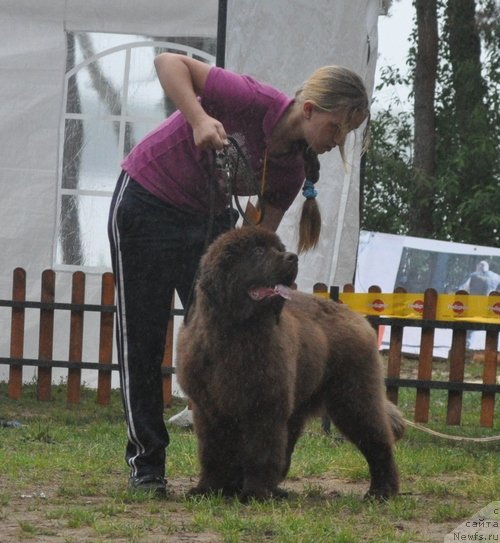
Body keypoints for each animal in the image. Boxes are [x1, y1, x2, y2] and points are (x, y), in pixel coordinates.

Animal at [178, 225, 404, 502]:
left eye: (279, 249)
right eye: (257, 251)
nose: (292, 257)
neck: (235, 332)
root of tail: (356, 317)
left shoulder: (264, 407)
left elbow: (261, 452)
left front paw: (254, 493)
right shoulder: (209, 408)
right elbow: (212, 452)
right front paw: (208, 489)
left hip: (353, 397)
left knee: (377, 439)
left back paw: (381, 491)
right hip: (302, 406)